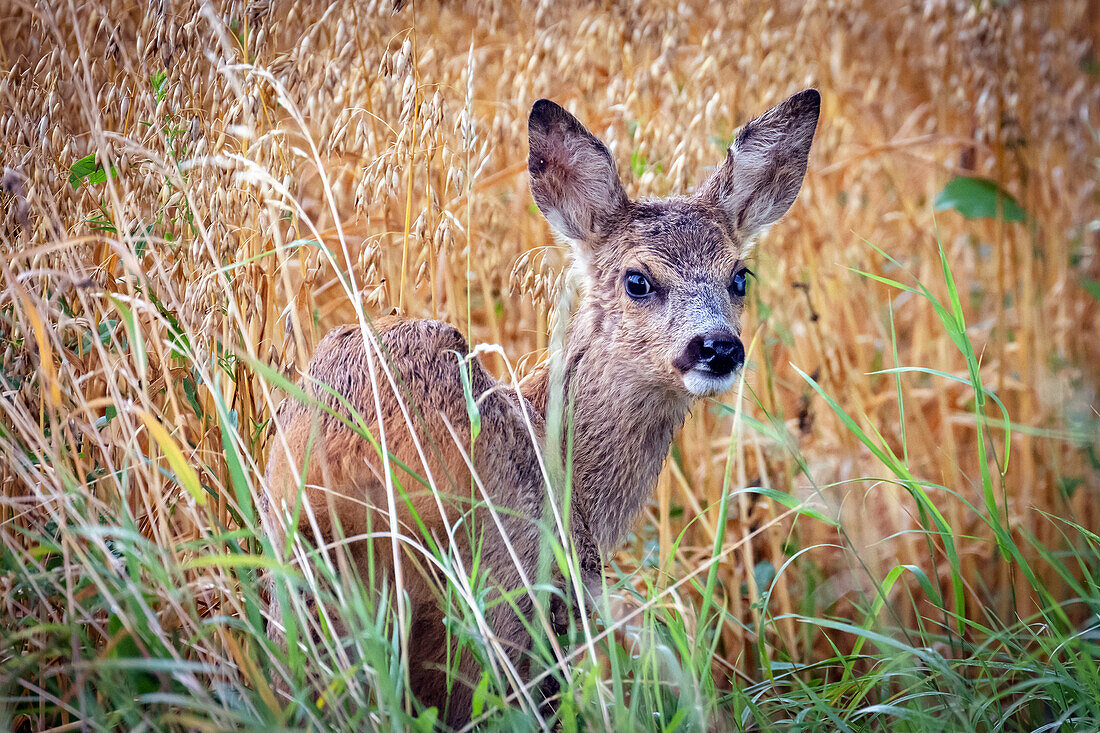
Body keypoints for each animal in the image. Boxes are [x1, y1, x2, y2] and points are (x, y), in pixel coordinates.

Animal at [261, 88, 822, 721]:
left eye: (739, 276)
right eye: (637, 279)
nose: (718, 347)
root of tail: (344, 461)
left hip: (301, 577)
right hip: (491, 585)